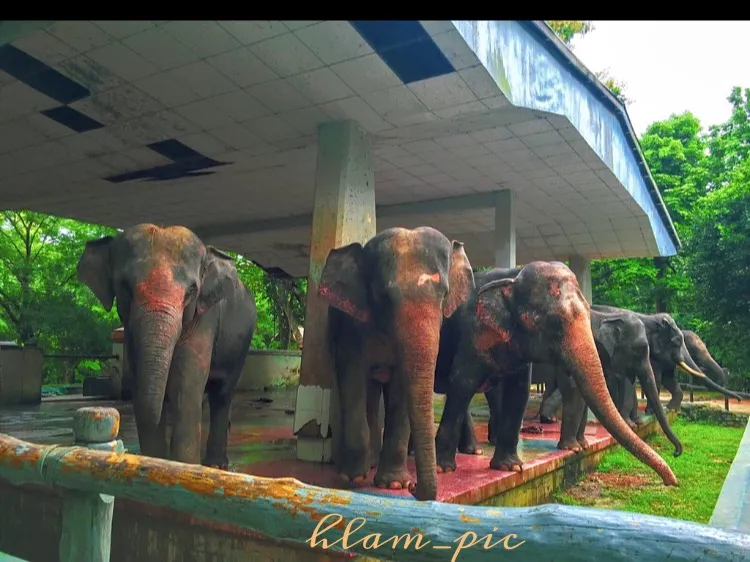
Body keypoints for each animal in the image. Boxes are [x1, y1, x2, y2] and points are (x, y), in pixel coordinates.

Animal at [77, 224, 257, 469]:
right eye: (125, 287)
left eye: (191, 291)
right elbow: (140, 381)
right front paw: (155, 464)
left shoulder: (204, 318)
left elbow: (184, 384)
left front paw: (183, 467)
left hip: (241, 346)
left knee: (222, 393)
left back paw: (215, 465)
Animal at [317, 226, 475, 501]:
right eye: (383, 297)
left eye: (444, 295)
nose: (414, 487)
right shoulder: (350, 327)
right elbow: (352, 379)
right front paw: (352, 477)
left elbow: (401, 388)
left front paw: (393, 484)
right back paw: (368, 463)